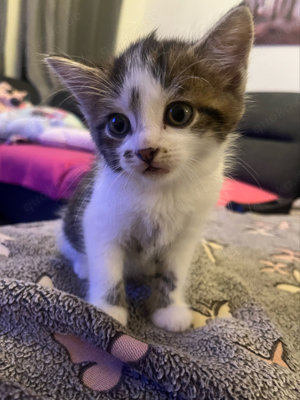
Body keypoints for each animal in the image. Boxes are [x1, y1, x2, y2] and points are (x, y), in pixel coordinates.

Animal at [46, 5, 253, 332]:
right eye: (118, 124)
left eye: (179, 113)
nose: (146, 151)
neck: (160, 192)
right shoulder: (100, 217)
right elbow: (107, 267)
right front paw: (108, 312)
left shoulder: (188, 231)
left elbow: (174, 271)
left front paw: (169, 310)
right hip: (71, 219)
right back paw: (83, 266)